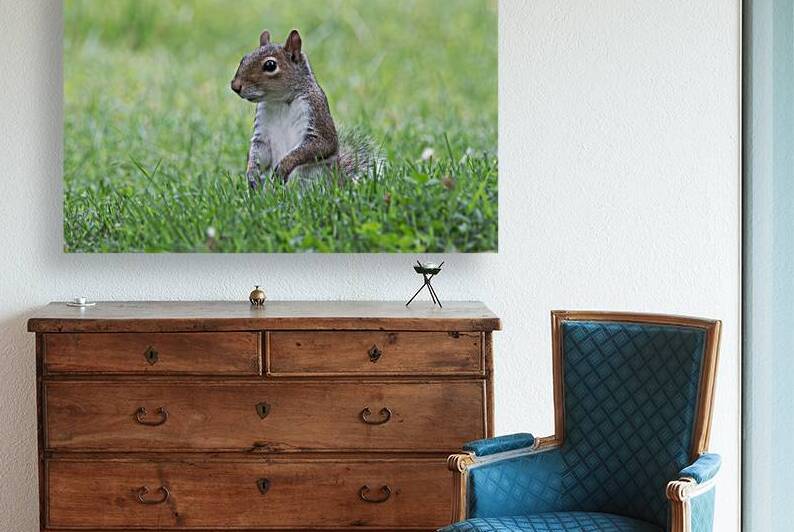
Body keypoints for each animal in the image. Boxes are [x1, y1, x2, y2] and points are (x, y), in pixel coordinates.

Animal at [231, 29, 378, 189]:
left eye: (270, 65)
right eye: (243, 59)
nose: (235, 86)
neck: (280, 102)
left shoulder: (315, 112)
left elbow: (323, 144)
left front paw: (283, 167)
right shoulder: (262, 132)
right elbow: (259, 151)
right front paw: (252, 175)